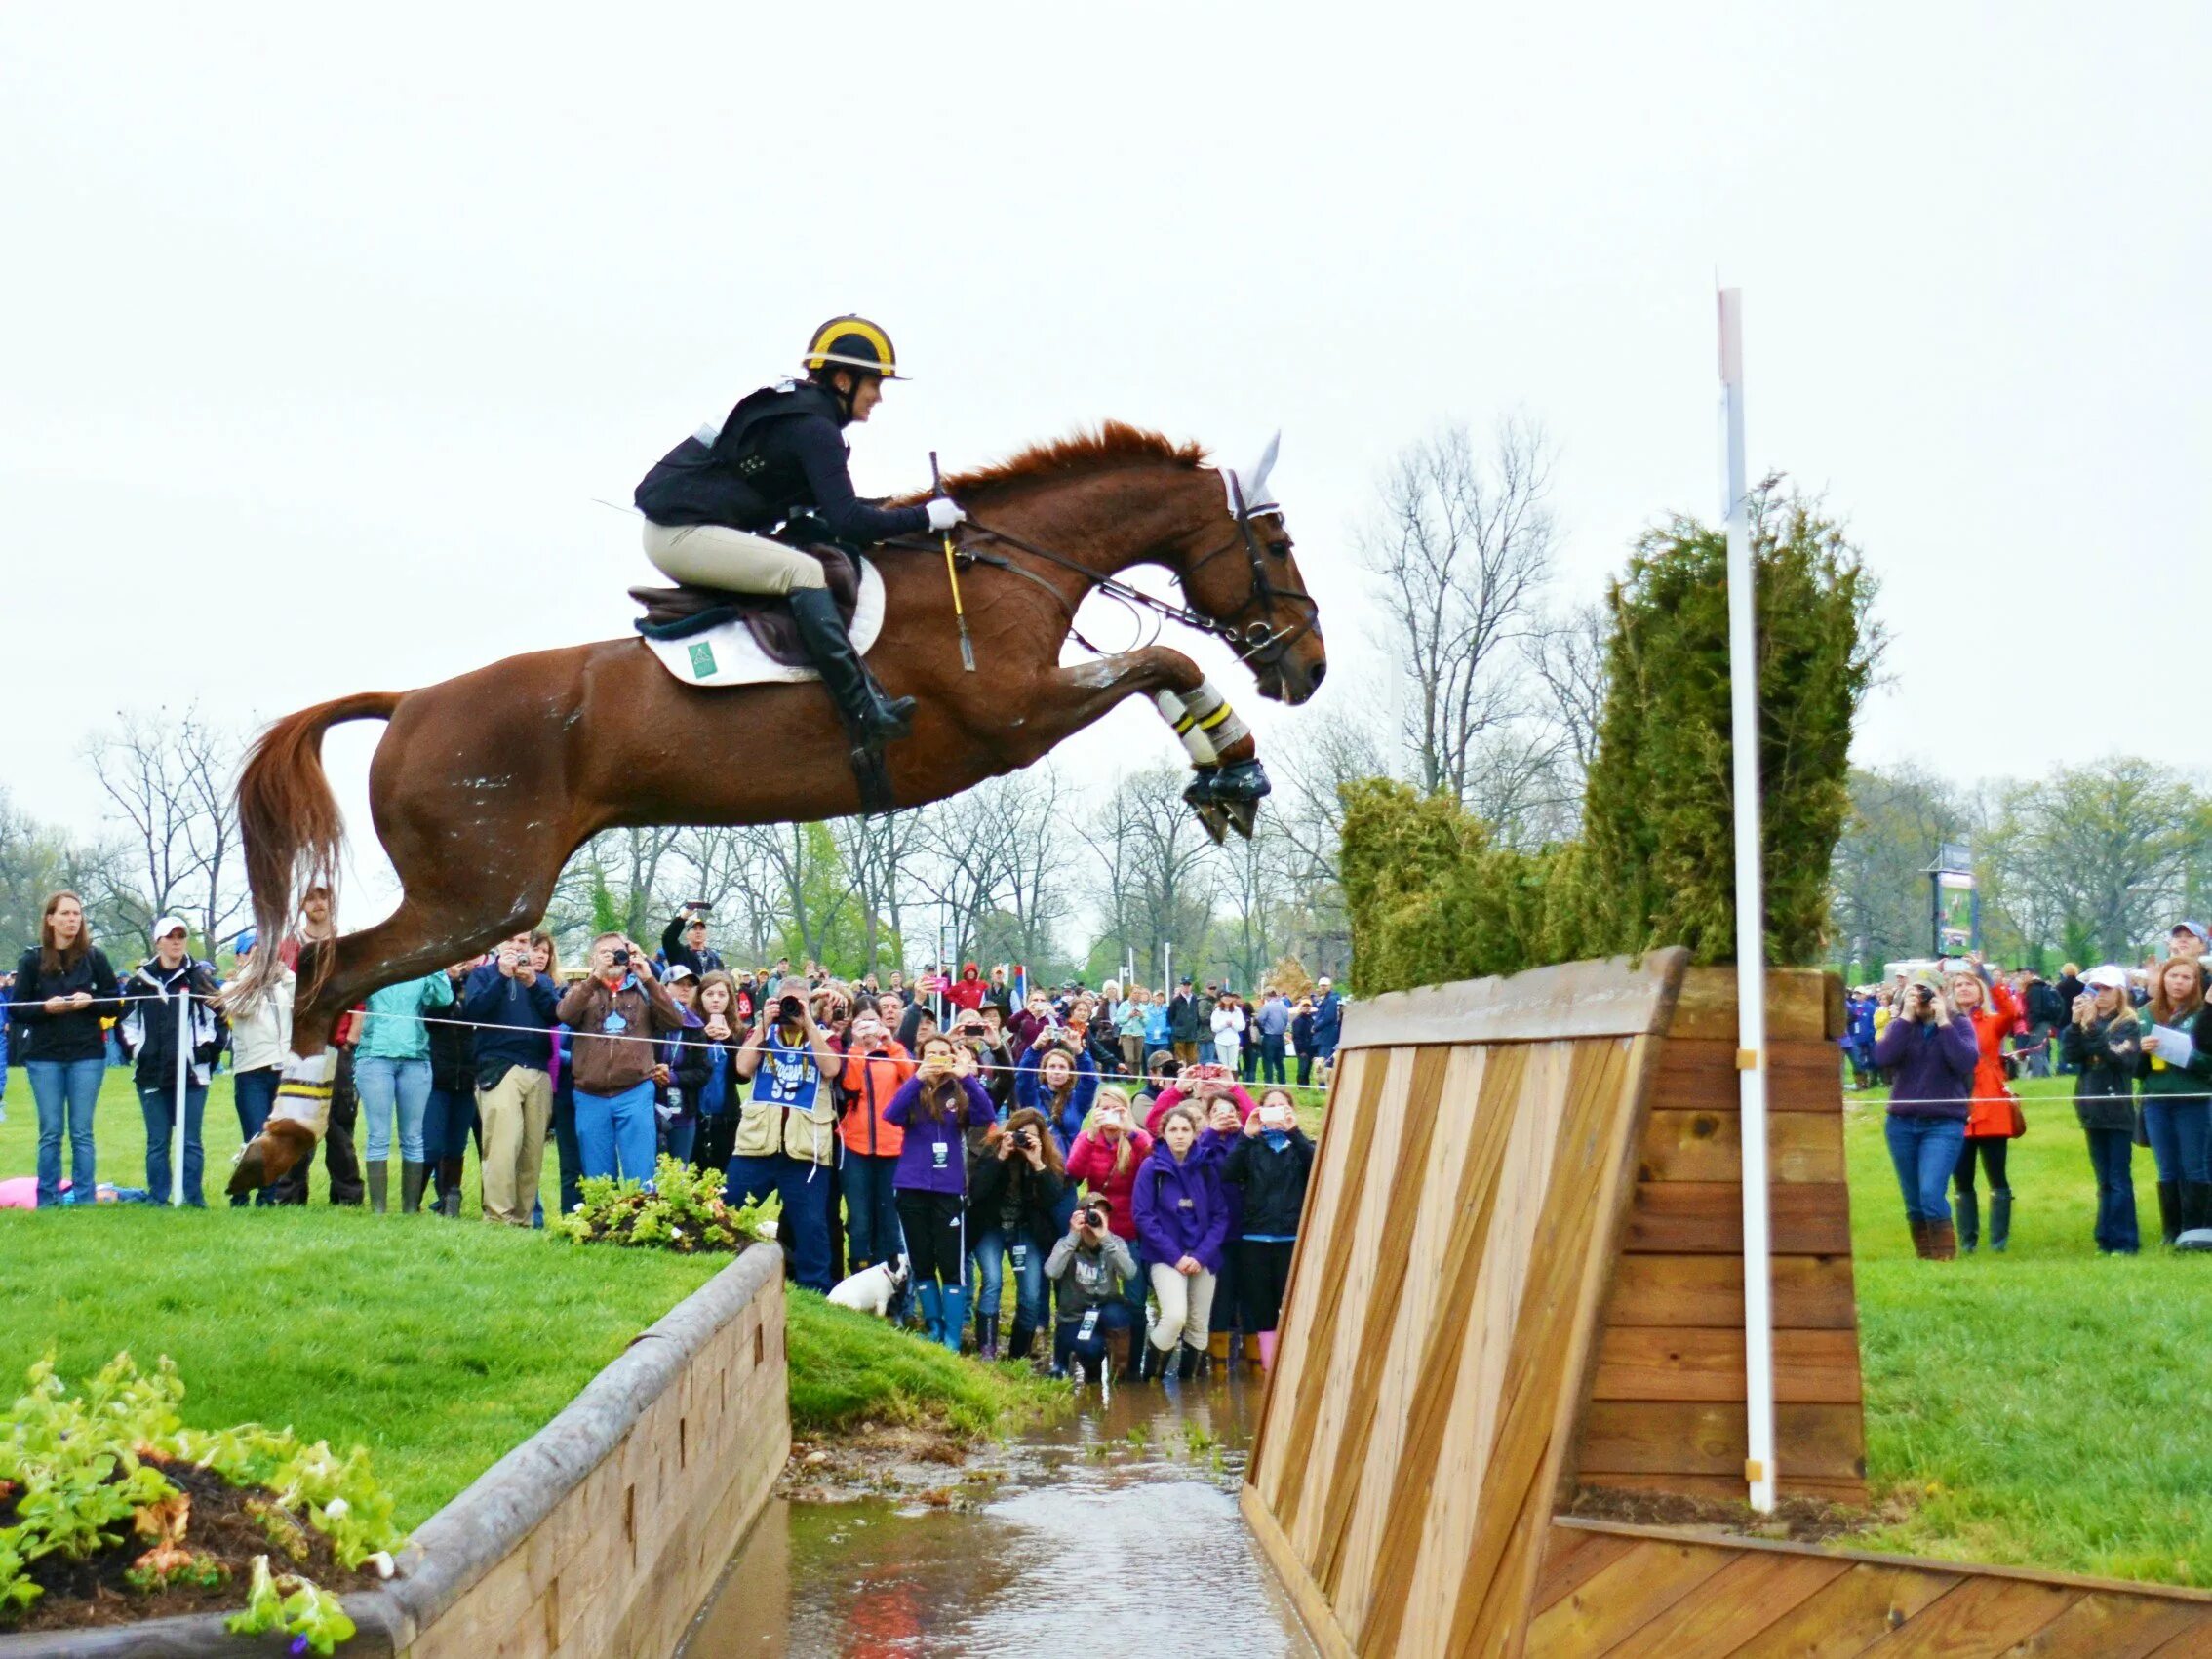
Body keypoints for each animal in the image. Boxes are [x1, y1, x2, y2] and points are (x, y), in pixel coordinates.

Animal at [226, 422, 1318, 1185]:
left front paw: (1225, 776)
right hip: (481, 901)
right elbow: (1164, 660)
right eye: (1275, 541)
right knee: (327, 975)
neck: (1002, 568)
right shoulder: (1010, 717)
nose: (1306, 665)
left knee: (328, 975)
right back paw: (279, 1141)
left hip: (473, 897)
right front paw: (1233, 770)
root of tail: (411, 701)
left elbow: (1157, 665)